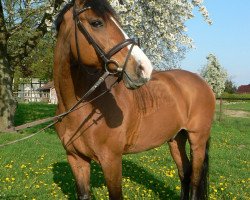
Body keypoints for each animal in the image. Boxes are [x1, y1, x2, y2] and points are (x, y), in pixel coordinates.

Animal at [53, 0, 216, 199]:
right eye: (96, 23)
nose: (144, 67)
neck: (81, 107)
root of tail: (203, 82)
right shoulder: (76, 159)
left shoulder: (111, 161)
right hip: (176, 139)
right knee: (185, 172)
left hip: (197, 139)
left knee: (194, 179)